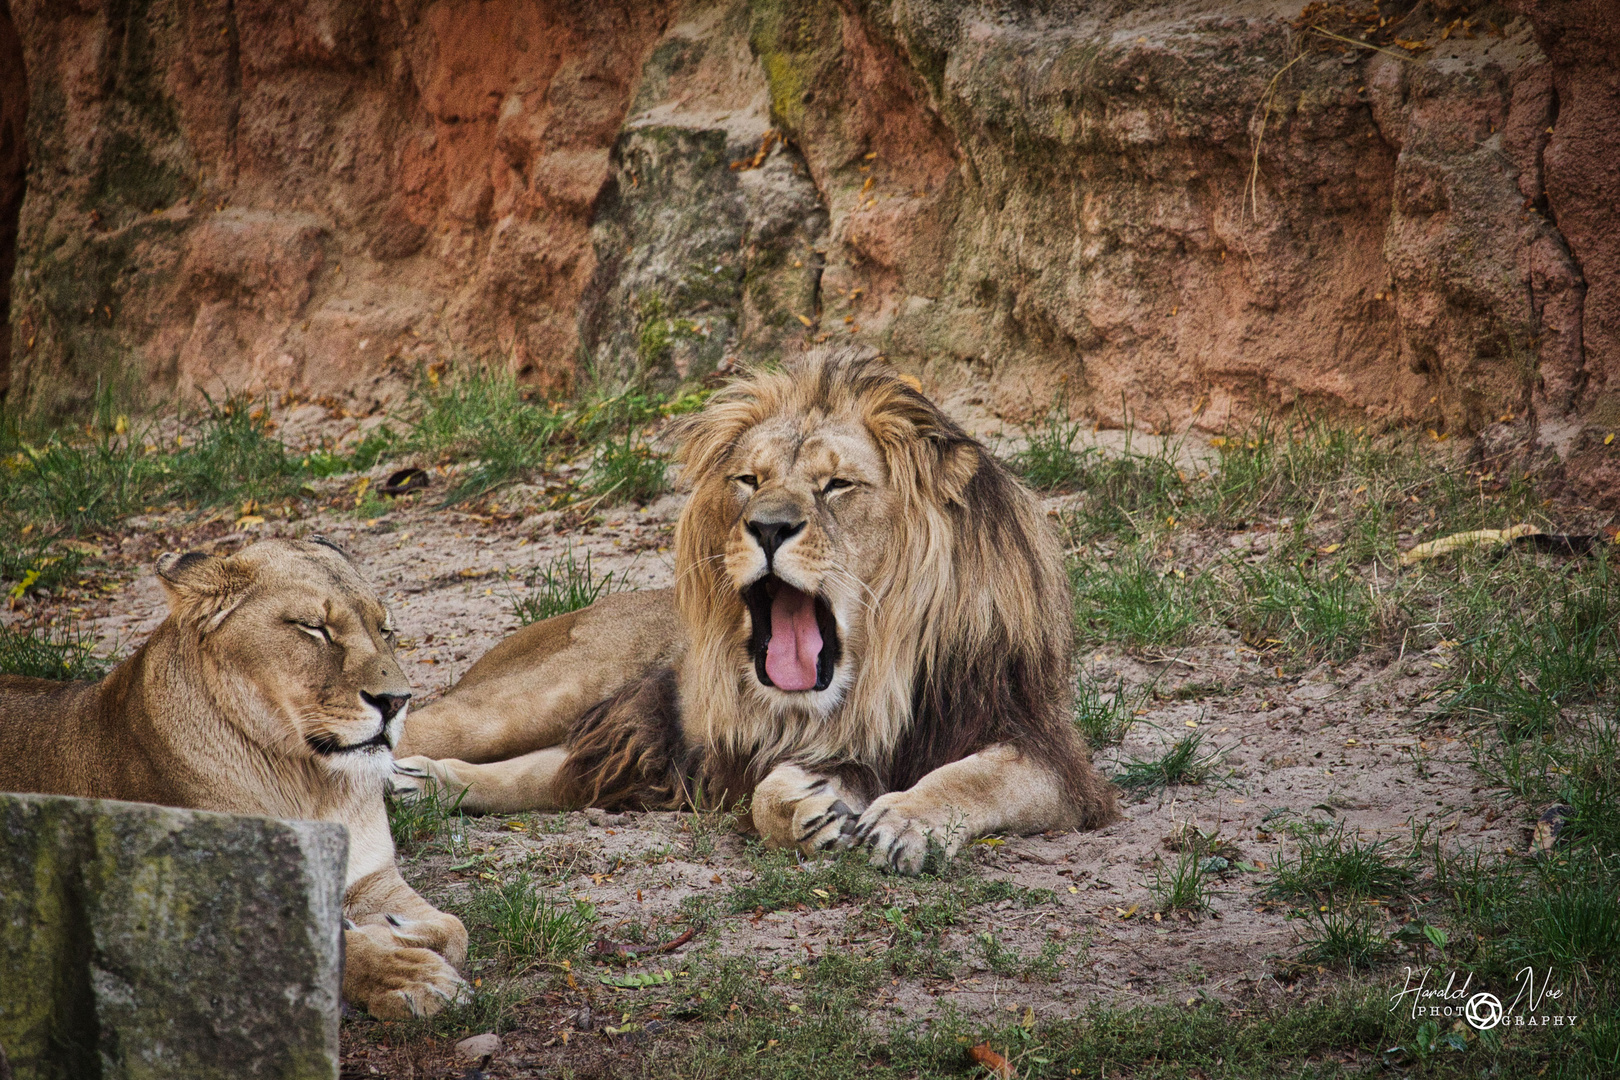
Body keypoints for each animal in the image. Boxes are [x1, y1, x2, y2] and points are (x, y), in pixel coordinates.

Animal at [0, 540, 469, 1023]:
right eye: (313, 628)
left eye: (385, 630)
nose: (396, 701)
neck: (312, 783)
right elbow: (336, 951)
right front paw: (409, 976)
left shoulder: (372, 878)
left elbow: (456, 929)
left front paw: (394, 930)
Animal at [398, 351, 1121, 874]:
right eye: (749, 480)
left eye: (837, 485)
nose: (769, 526)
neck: (881, 669)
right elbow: (767, 791)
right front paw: (806, 811)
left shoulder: (1045, 751)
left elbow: (970, 781)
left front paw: (900, 821)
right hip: (533, 700)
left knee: (520, 777)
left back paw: (417, 785)